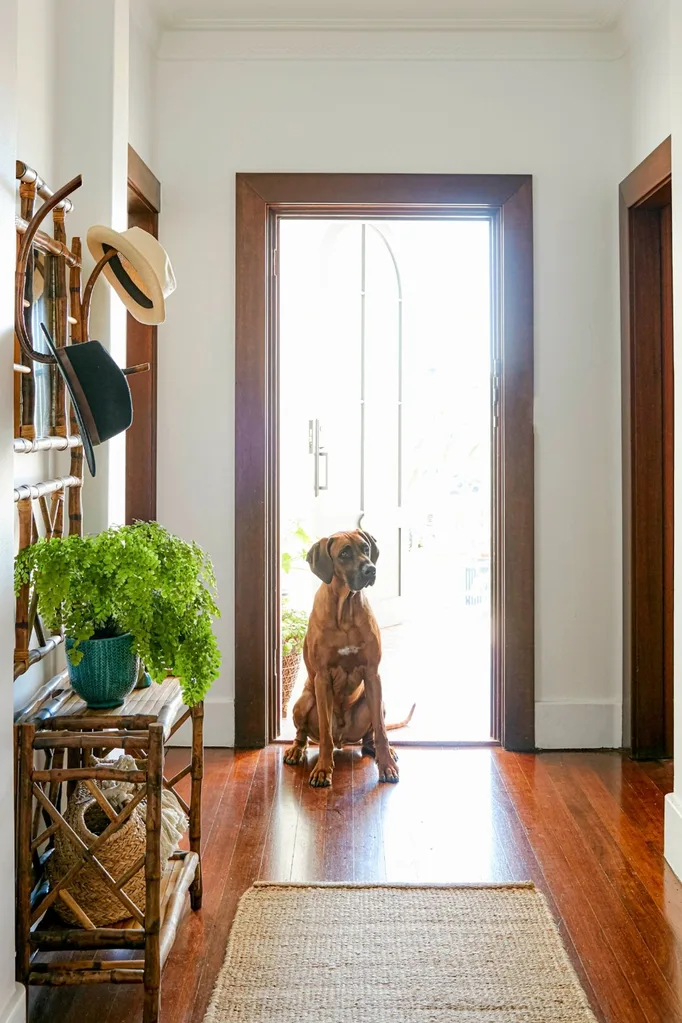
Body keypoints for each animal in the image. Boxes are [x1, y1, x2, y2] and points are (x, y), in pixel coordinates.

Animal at [282, 531, 417, 785]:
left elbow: (381, 731)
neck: (345, 608)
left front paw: (387, 765)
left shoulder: (373, 674)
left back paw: (383, 750)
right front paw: (323, 769)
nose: (371, 569)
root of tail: (343, 739)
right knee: (304, 733)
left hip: (376, 702)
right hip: (303, 701)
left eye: (365, 548)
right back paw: (296, 749)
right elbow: (325, 732)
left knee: (371, 736)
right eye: (344, 553)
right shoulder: (322, 677)